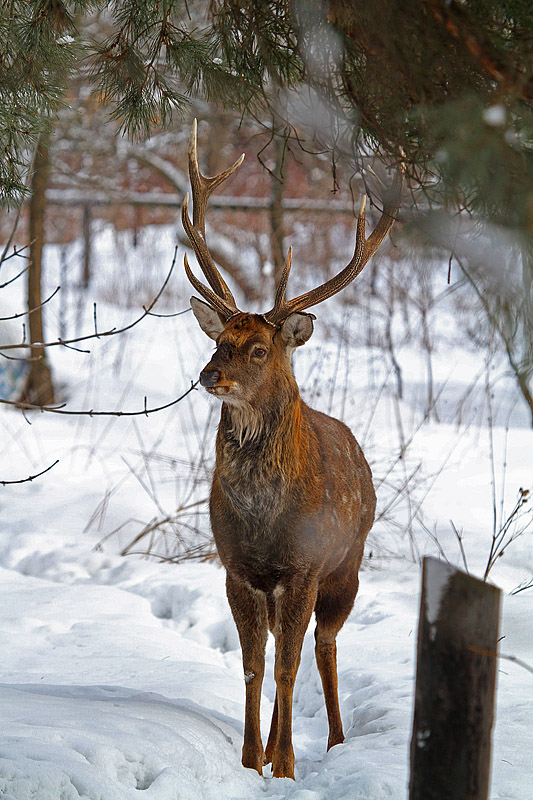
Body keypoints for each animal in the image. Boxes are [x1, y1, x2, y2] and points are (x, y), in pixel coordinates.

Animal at [181, 122, 402, 780]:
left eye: (259, 349)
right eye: (219, 340)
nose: (209, 376)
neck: (264, 520)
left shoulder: (303, 566)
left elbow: (287, 667)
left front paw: (283, 766)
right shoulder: (238, 568)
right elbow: (256, 666)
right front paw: (251, 759)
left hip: (347, 564)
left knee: (323, 647)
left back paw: (333, 741)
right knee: (289, 645)